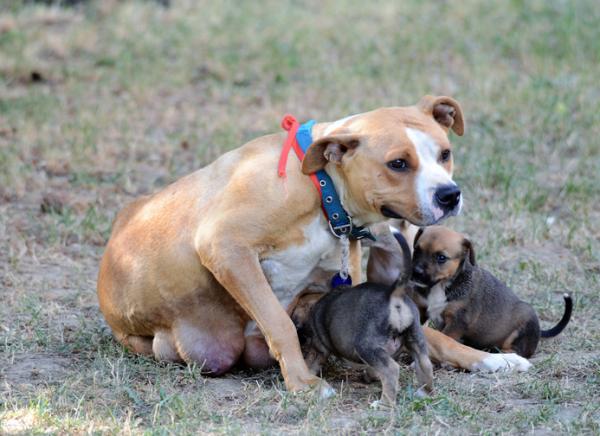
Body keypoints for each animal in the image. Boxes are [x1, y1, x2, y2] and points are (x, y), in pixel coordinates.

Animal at [290, 233, 432, 408]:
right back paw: (425, 393)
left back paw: (384, 403)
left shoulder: (319, 349)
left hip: (366, 346)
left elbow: (311, 363)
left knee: (392, 370)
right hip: (415, 338)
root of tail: (394, 295)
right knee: (425, 364)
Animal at [412, 225, 572, 358]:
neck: (441, 285)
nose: (416, 272)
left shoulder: (457, 322)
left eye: (441, 258)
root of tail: (539, 331)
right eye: (417, 250)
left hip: (525, 320)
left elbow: (445, 339)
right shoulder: (421, 310)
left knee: (517, 352)